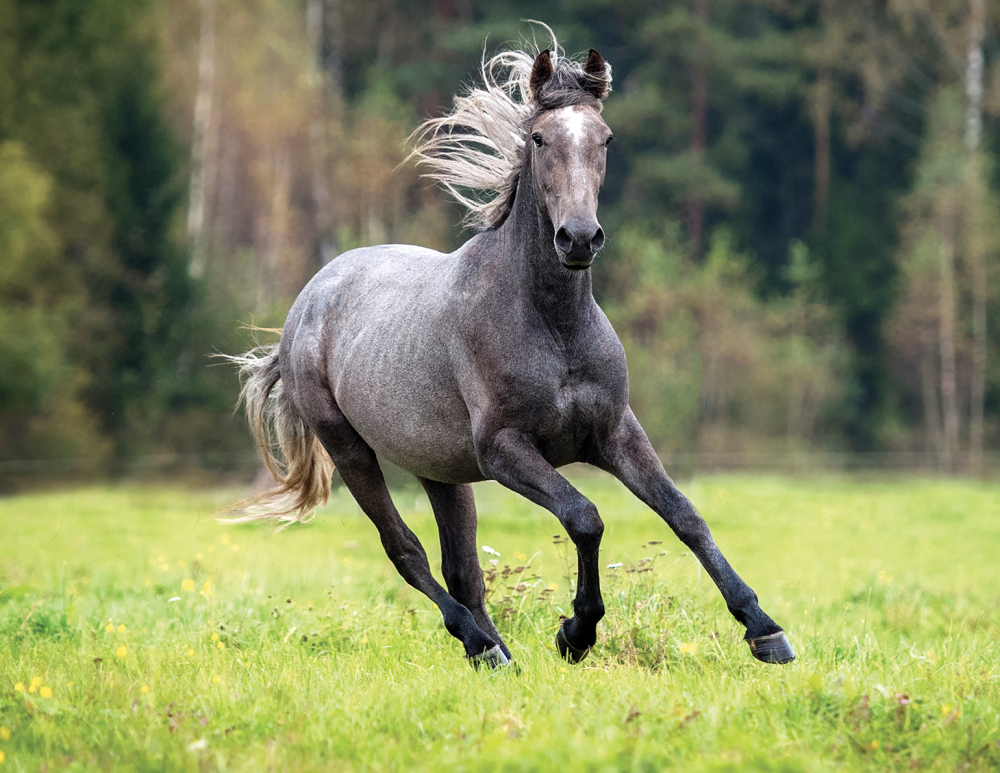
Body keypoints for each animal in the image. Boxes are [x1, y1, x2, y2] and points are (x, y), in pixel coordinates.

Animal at [229, 34, 796, 668]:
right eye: (539, 138)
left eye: (605, 138)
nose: (579, 238)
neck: (554, 327)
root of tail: (308, 301)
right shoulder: (505, 450)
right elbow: (584, 517)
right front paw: (576, 632)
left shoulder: (616, 433)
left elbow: (685, 516)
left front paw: (764, 629)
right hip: (351, 450)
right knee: (406, 550)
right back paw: (481, 643)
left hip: (439, 469)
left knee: (462, 568)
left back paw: (494, 654)